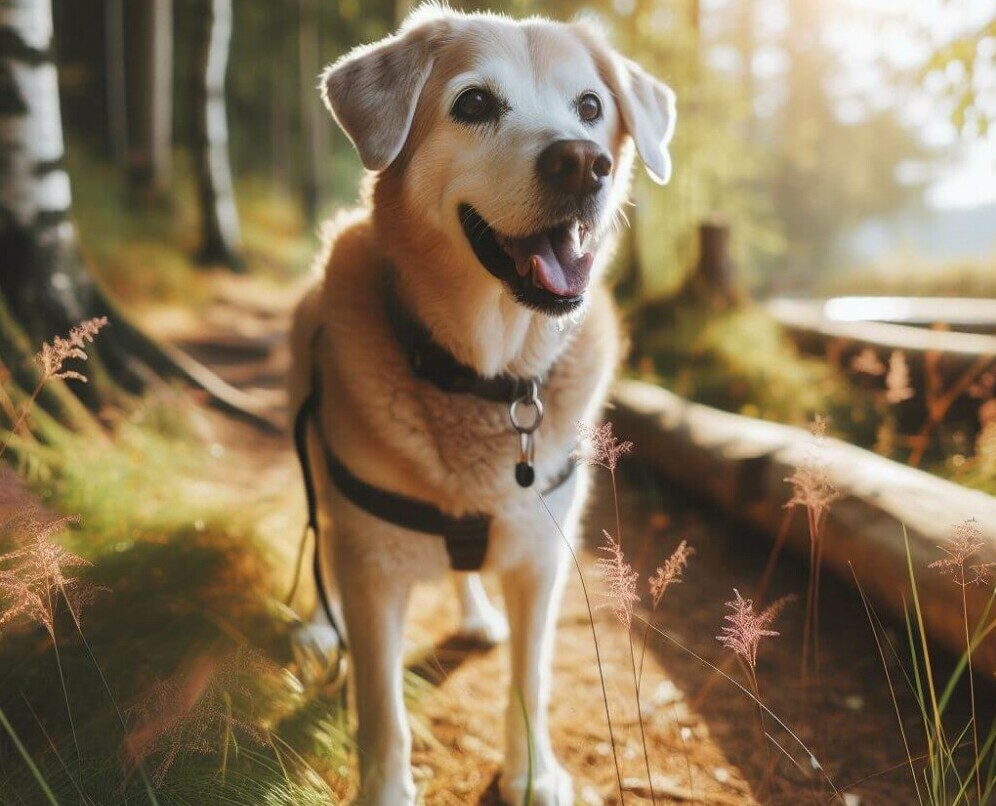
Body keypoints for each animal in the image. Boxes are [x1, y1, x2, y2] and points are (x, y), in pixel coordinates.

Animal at [288, 4, 676, 800]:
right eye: (472, 104)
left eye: (590, 108)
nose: (581, 161)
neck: (488, 376)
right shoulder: (371, 572)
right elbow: (382, 710)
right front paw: (384, 789)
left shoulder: (541, 559)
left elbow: (530, 680)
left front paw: (531, 774)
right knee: (317, 536)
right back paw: (316, 625)